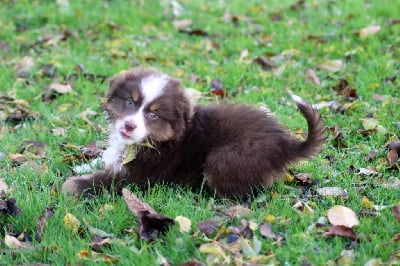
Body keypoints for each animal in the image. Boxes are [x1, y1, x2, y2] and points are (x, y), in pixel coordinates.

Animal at [61, 67, 324, 198]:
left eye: (154, 115)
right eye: (129, 103)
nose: (129, 127)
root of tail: (283, 143)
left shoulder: (142, 175)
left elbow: (104, 181)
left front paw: (73, 185)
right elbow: (107, 161)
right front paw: (84, 165)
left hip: (225, 157)